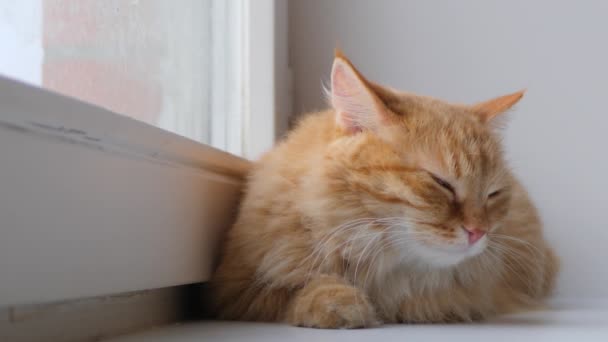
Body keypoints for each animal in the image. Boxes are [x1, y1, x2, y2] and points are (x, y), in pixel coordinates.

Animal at [210, 51, 560, 328]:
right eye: (441, 183)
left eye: (493, 194)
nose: (479, 232)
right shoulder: (236, 287)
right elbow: (291, 291)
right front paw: (336, 301)